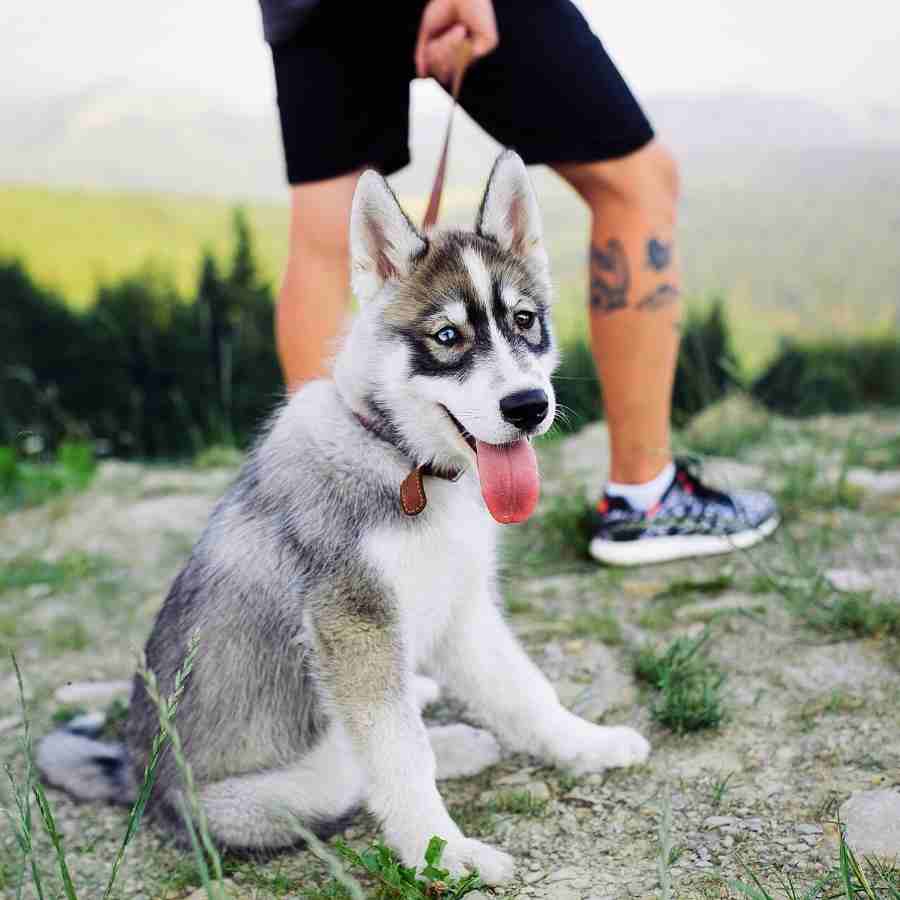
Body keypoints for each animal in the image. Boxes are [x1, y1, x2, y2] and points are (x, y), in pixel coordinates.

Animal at [40, 151, 648, 884]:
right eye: (448, 337)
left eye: (525, 321)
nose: (529, 406)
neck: (405, 462)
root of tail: (135, 782)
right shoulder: (355, 626)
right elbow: (400, 756)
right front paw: (445, 853)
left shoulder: (463, 608)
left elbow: (524, 690)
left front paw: (586, 744)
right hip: (279, 790)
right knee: (360, 774)